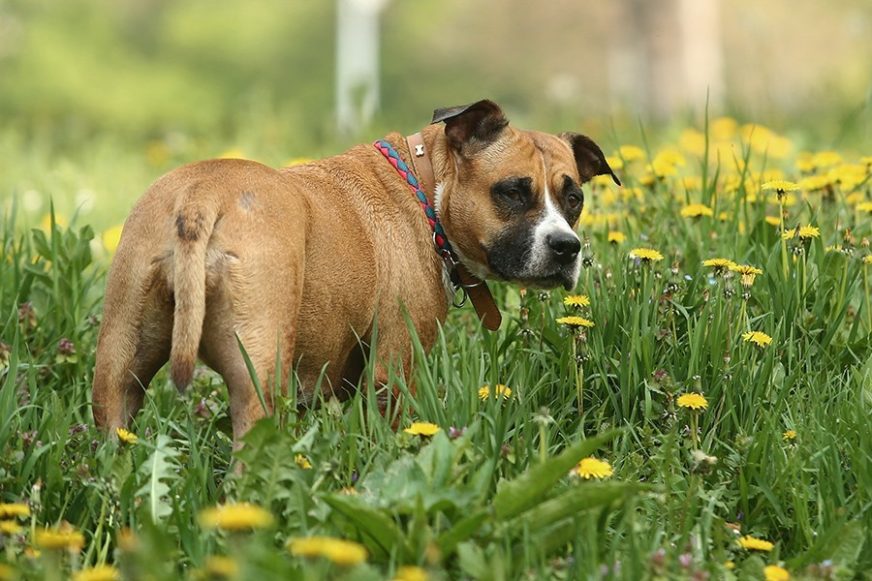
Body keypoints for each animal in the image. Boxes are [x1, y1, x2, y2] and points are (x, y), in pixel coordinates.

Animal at [92, 99, 616, 444]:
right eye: (512, 191)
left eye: (574, 198)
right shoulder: (394, 368)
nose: (566, 247)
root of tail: (204, 194)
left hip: (118, 368)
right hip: (259, 378)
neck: (426, 186)